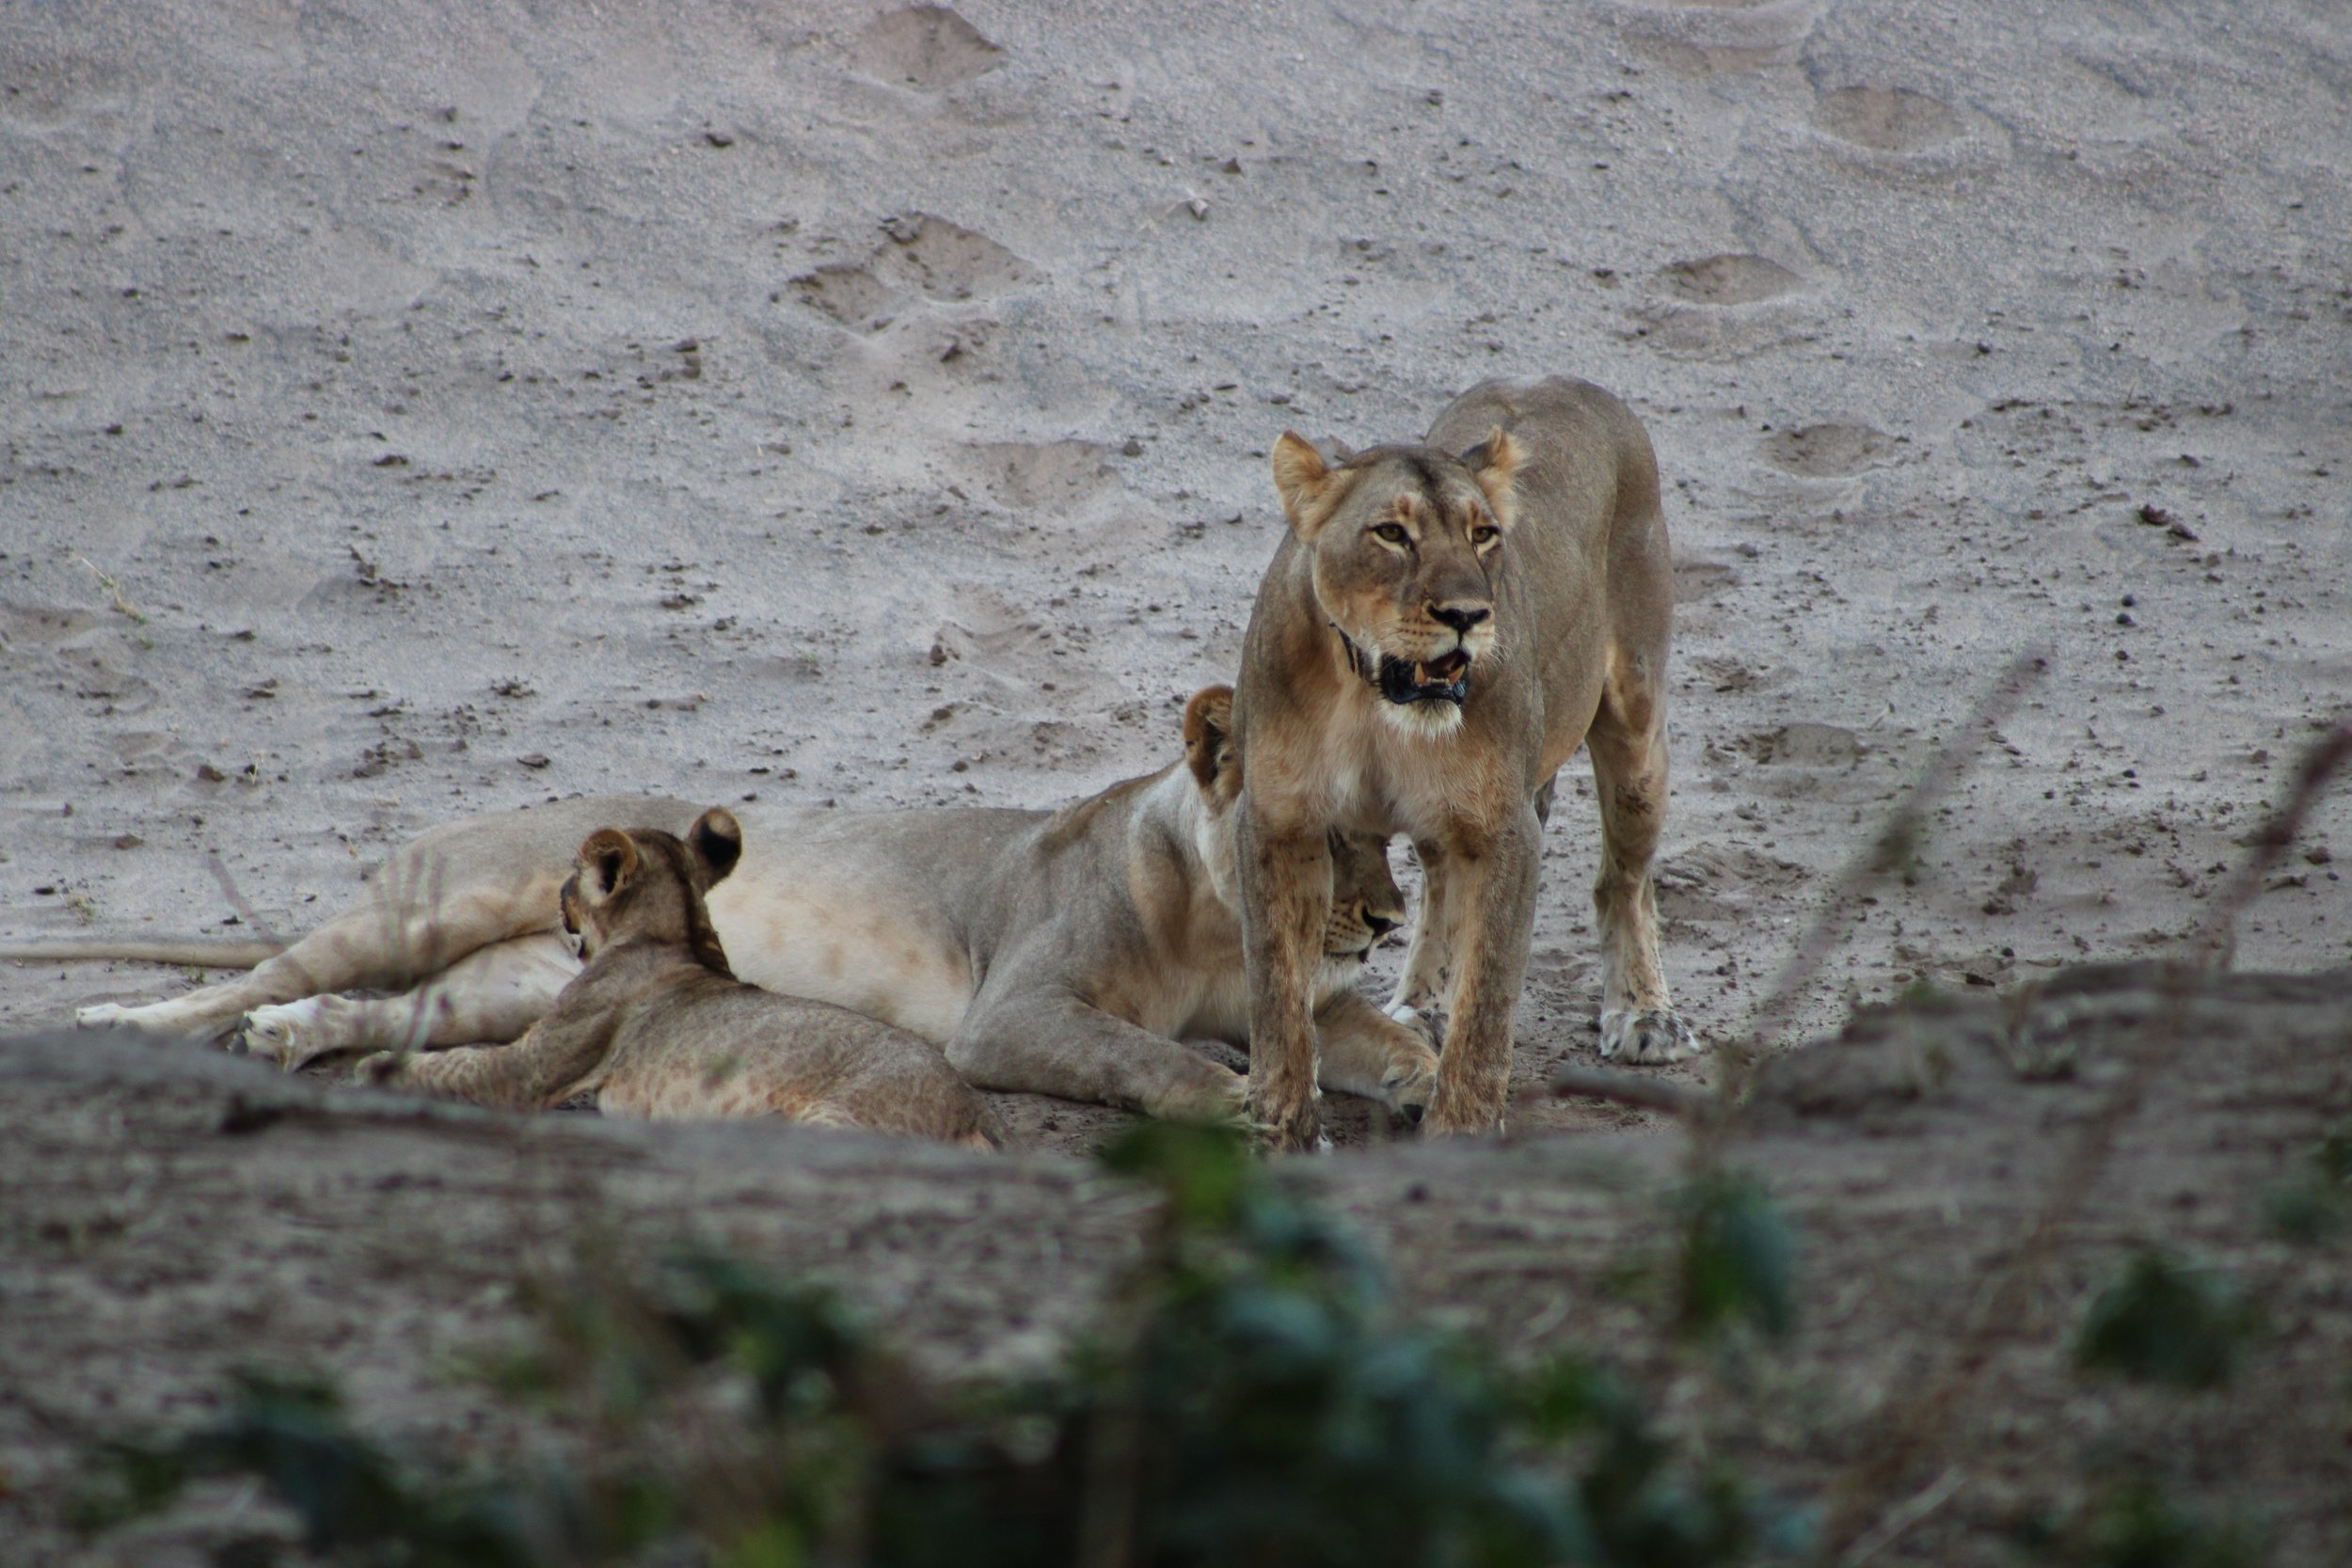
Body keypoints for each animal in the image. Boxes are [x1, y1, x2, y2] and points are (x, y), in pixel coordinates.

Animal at [355, 810, 1006, 1148]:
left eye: (570, 878)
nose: (558, 898)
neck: (680, 934)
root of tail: (974, 1114)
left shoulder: (530, 1067)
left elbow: (457, 1064)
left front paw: (375, 1067)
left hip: (836, 1122)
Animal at [1231, 375, 1696, 1150]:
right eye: (1392, 533)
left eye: (1484, 534)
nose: (1467, 614)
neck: (1369, 700)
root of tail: (1557, 379)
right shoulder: (1277, 821)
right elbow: (1277, 990)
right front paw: (1281, 1132)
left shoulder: (1507, 830)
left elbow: (1487, 1004)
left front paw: (1460, 1137)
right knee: (1443, 885)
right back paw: (1419, 1008)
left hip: (1636, 724)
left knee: (1625, 883)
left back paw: (1645, 1012)